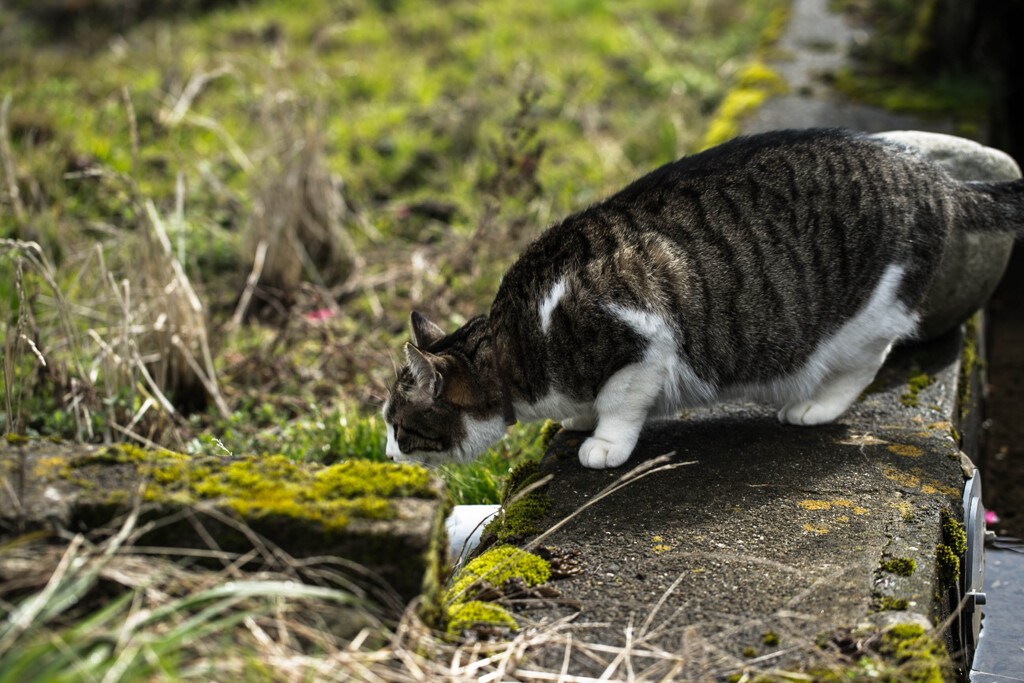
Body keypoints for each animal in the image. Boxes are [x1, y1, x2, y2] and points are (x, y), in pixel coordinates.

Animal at [382, 127, 1024, 471]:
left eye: (396, 424)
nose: (386, 455)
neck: (517, 340)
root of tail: (931, 177)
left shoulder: (642, 339)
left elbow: (620, 403)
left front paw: (603, 443)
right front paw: (578, 419)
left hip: (868, 312)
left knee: (869, 359)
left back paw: (815, 406)